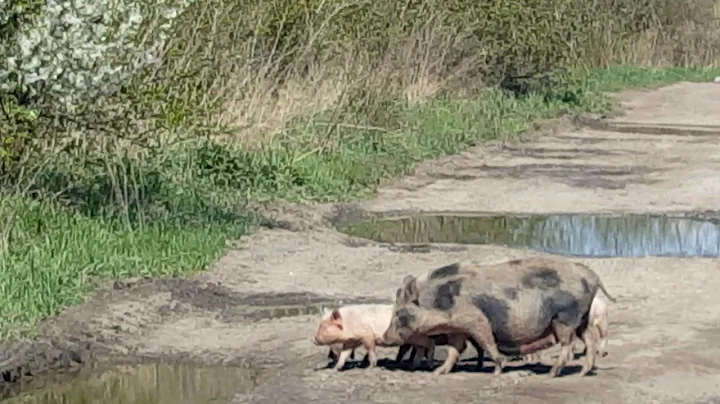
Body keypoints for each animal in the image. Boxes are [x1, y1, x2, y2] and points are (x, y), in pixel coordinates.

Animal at [383, 257, 616, 377]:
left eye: (399, 313)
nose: (385, 336)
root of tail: (592, 276)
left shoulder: (475, 319)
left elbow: (486, 342)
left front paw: (497, 370)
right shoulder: (458, 328)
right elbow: (454, 350)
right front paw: (439, 372)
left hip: (565, 318)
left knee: (568, 345)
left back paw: (552, 373)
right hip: (582, 319)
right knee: (590, 341)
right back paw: (583, 372)